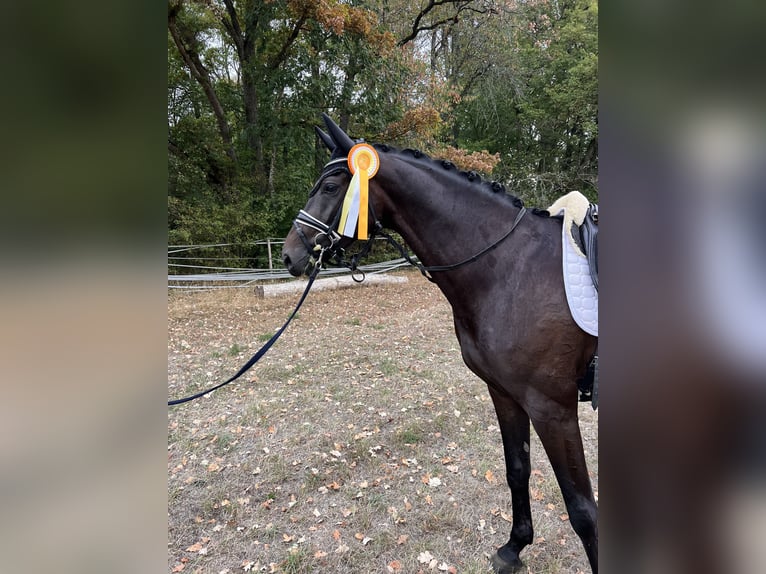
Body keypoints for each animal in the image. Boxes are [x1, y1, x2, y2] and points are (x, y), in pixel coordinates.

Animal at [281, 114, 598, 573]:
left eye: (329, 187)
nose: (290, 255)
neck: (509, 268)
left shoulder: (552, 408)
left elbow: (582, 510)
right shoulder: (505, 393)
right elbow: (517, 470)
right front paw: (514, 547)